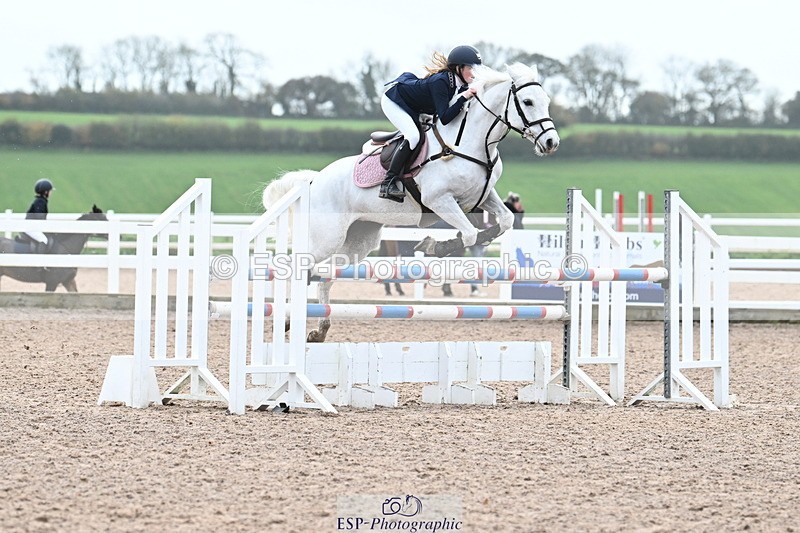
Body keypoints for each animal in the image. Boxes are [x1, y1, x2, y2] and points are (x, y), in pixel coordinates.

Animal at [262, 63, 560, 342]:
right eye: (528, 102)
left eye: (545, 100)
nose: (551, 142)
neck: (470, 144)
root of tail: (315, 180)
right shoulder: (440, 201)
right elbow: (469, 234)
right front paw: (435, 246)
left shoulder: (482, 197)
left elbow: (503, 221)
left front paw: (444, 244)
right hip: (327, 237)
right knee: (298, 268)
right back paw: (286, 320)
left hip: (358, 240)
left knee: (325, 278)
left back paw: (320, 330)